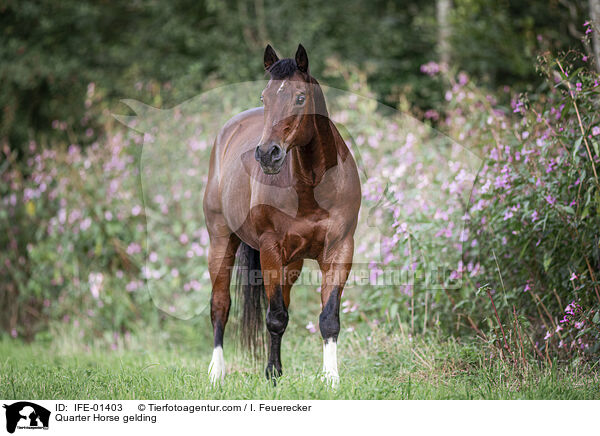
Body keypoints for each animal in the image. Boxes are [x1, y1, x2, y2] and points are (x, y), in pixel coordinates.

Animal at [202, 43, 360, 384]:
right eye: (265, 97)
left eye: (300, 98)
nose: (267, 154)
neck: (313, 188)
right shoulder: (270, 249)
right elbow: (274, 317)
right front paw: (272, 375)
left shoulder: (340, 249)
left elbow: (328, 317)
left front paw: (331, 379)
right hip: (221, 241)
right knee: (220, 306)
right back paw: (217, 373)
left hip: (293, 263)